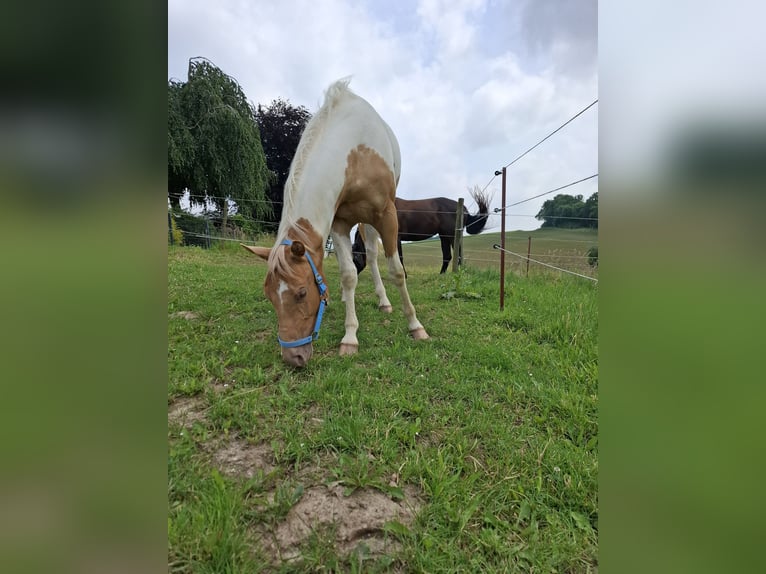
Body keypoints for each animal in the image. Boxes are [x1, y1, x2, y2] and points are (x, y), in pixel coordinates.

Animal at [354, 197, 492, 276]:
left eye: (354, 256)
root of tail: (463, 208)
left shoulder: (396, 238)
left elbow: (399, 257)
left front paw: (403, 275)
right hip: (443, 236)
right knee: (447, 256)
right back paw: (441, 275)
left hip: (451, 235)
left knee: (456, 255)